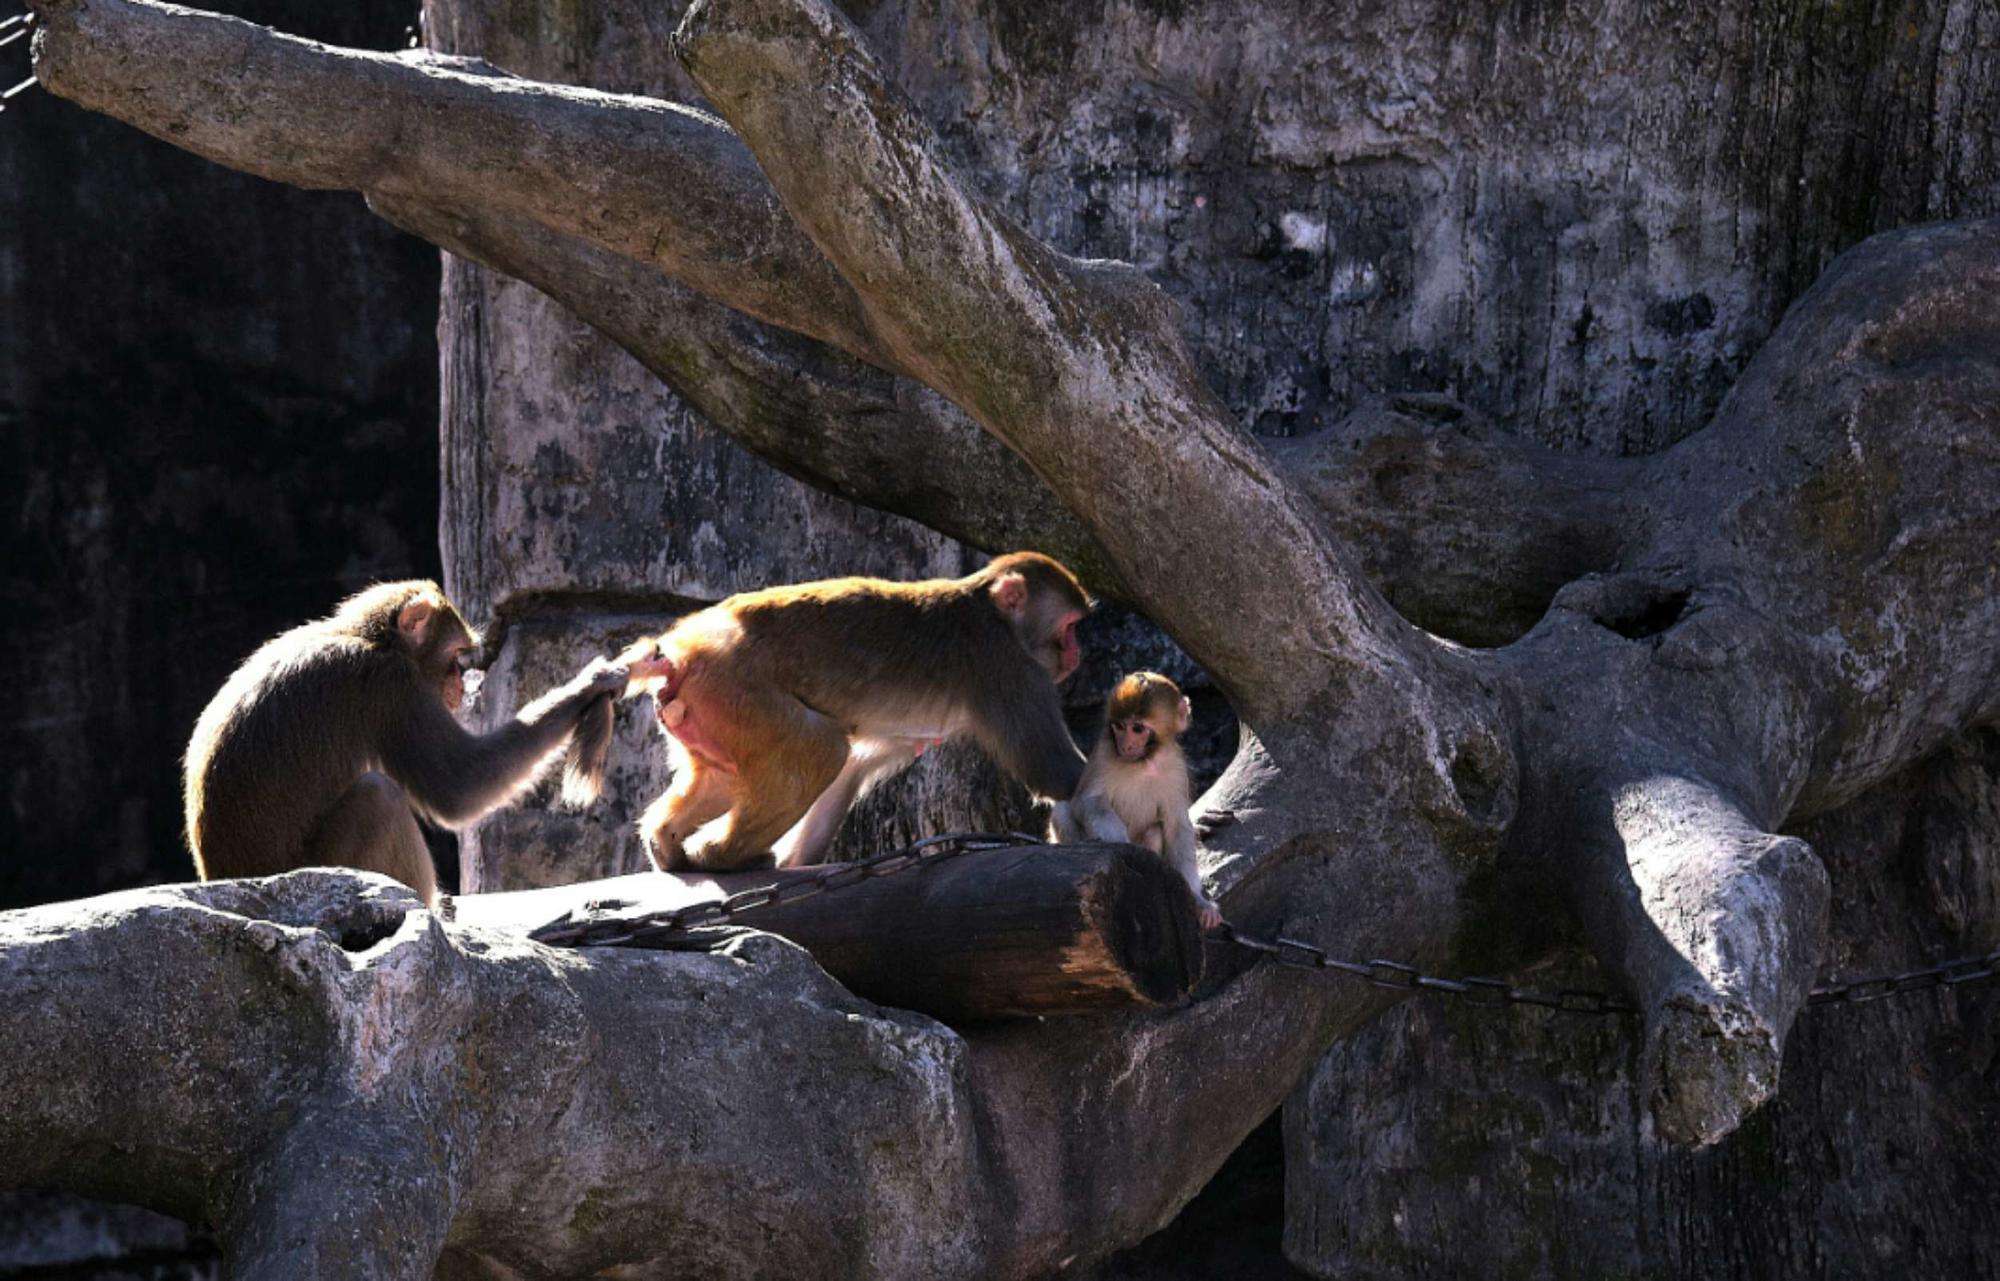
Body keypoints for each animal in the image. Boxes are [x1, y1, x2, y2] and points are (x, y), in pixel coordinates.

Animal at [186, 576, 640, 900]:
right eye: (455, 655)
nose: (463, 685)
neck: (365, 637)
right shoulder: (393, 686)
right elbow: (459, 784)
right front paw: (590, 683)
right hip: (319, 866)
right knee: (378, 797)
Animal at [624, 552, 1096, 872]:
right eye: (1070, 627)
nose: (1078, 653)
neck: (990, 612)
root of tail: (681, 650)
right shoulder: (1010, 668)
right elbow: (1055, 772)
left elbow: (853, 768)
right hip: (734, 686)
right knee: (820, 749)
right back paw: (718, 854)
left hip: (710, 706)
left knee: (729, 770)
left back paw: (667, 842)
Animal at [1048, 672, 1216, 928]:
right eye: (1119, 726)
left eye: (1137, 728)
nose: (1125, 744)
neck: (1143, 762)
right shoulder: (1105, 752)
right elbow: (1089, 801)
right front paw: (1120, 844)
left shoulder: (1175, 766)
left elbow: (1177, 826)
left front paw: (1199, 901)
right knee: (1063, 811)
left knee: (1155, 830)